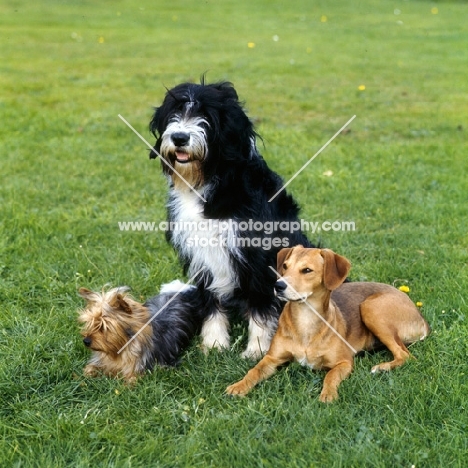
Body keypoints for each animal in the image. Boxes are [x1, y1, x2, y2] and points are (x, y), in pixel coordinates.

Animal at [148, 79, 312, 358]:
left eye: (206, 116)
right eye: (174, 114)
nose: (179, 137)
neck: (209, 182)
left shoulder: (257, 255)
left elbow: (260, 304)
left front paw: (257, 349)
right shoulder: (201, 253)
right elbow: (210, 301)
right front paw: (214, 343)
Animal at [225, 245, 430, 402]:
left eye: (307, 270)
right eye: (285, 266)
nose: (278, 286)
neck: (305, 319)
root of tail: (420, 316)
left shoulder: (344, 363)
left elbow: (330, 376)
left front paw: (328, 394)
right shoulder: (271, 358)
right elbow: (254, 371)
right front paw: (239, 386)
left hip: (371, 308)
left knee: (406, 355)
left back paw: (382, 367)